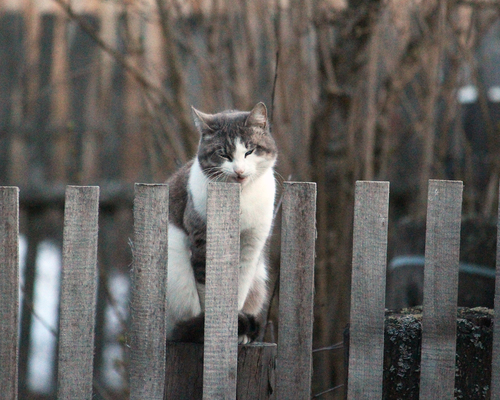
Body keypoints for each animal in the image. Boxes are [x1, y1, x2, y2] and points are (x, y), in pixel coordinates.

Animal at [167, 102, 278, 344]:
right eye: (223, 154)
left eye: (249, 151)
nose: (239, 171)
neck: (241, 197)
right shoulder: (202, 242)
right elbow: (206, 290)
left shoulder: (252, 245)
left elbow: (240, 287)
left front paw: (235, 329)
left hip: (259, 278)